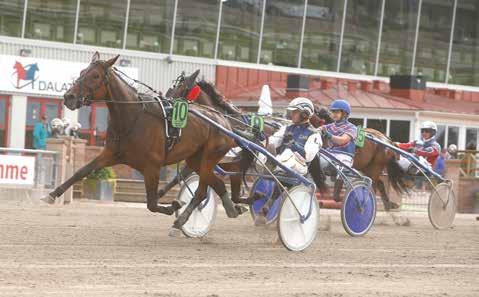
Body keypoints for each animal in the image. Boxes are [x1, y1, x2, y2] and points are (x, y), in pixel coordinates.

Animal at [41, 52, 244, 229]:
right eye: (82, 72)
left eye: (96, 76)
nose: (69, 97)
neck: (132, 117)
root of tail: (224, 121)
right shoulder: (111, 154)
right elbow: (81, 171)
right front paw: (52, 194)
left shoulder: (152, 166)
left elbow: (152, 204)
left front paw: (173, 206)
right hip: (196, 159)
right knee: (216, 183)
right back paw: (231, 208)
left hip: (210, 156)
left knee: (202, 191)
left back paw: (180, 222)